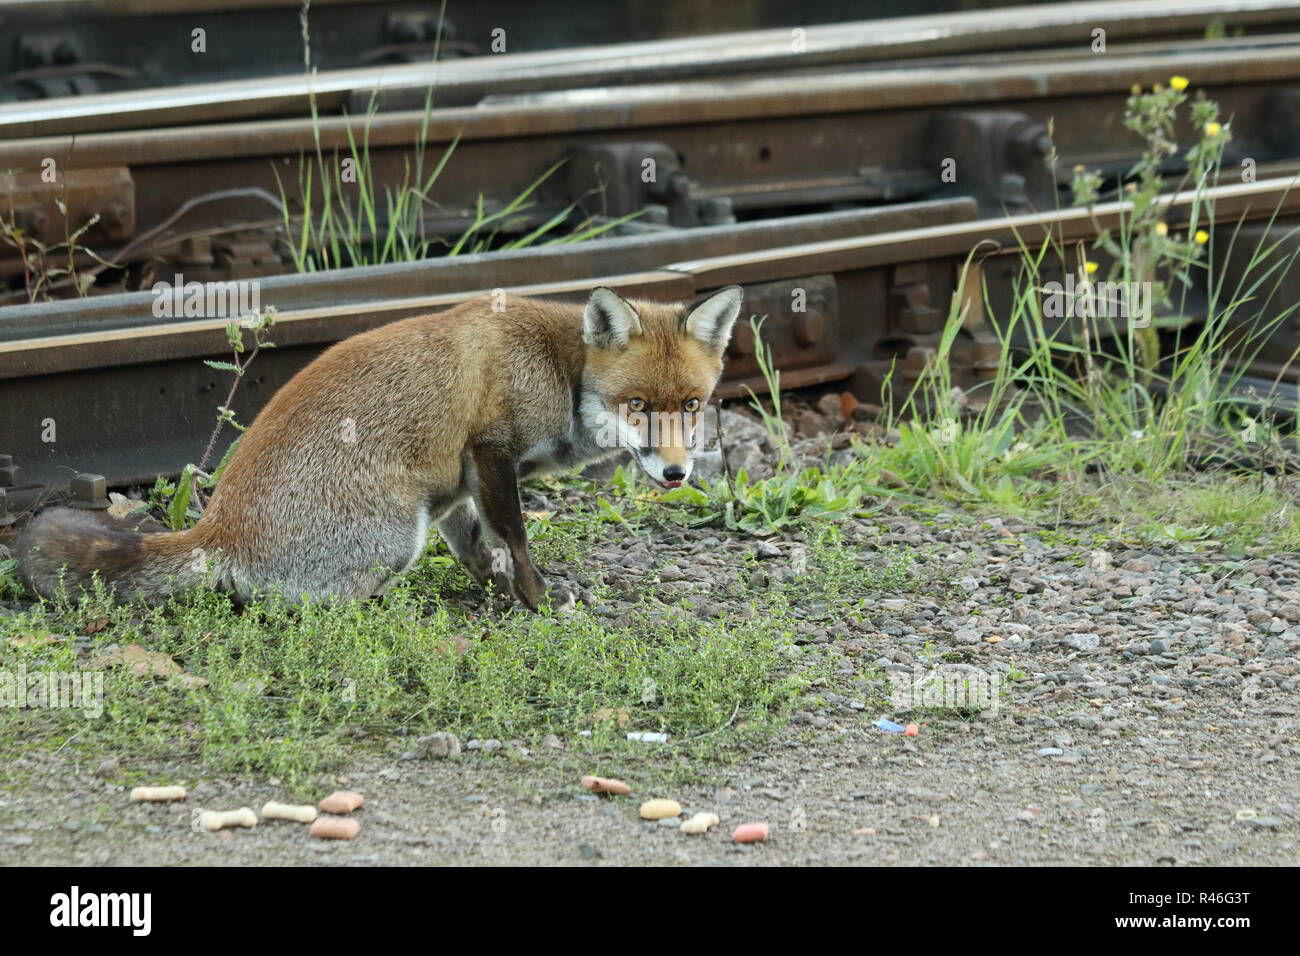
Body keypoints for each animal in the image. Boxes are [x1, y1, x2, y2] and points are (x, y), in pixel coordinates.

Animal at [17, 287, 743, 608]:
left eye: (692, 406)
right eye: (637, 406)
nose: (676, 474)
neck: (557, 369)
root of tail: (216, 529)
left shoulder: (461, 479)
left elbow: (477, 545)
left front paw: (497, 589)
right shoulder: (491, 450)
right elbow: (514, 537)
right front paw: (537, 600)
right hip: (397, 533)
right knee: (300, 606)